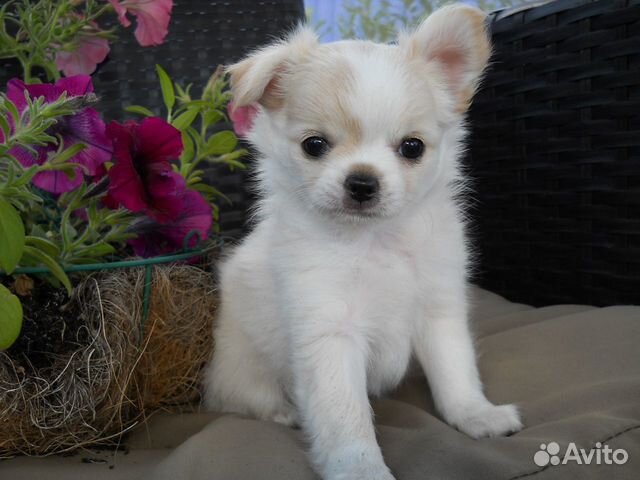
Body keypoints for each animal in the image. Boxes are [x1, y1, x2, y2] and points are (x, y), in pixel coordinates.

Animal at [202, 4, 524, 480]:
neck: (375, 240)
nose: (362, 182)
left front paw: (476, 415)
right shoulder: (329, 334)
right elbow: (346, 420)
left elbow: (455, 372)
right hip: (242, 370)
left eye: (412, 148)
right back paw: (284, 412)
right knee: (246, 399)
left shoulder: (439, 311)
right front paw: (361, 469)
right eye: (314, 145)